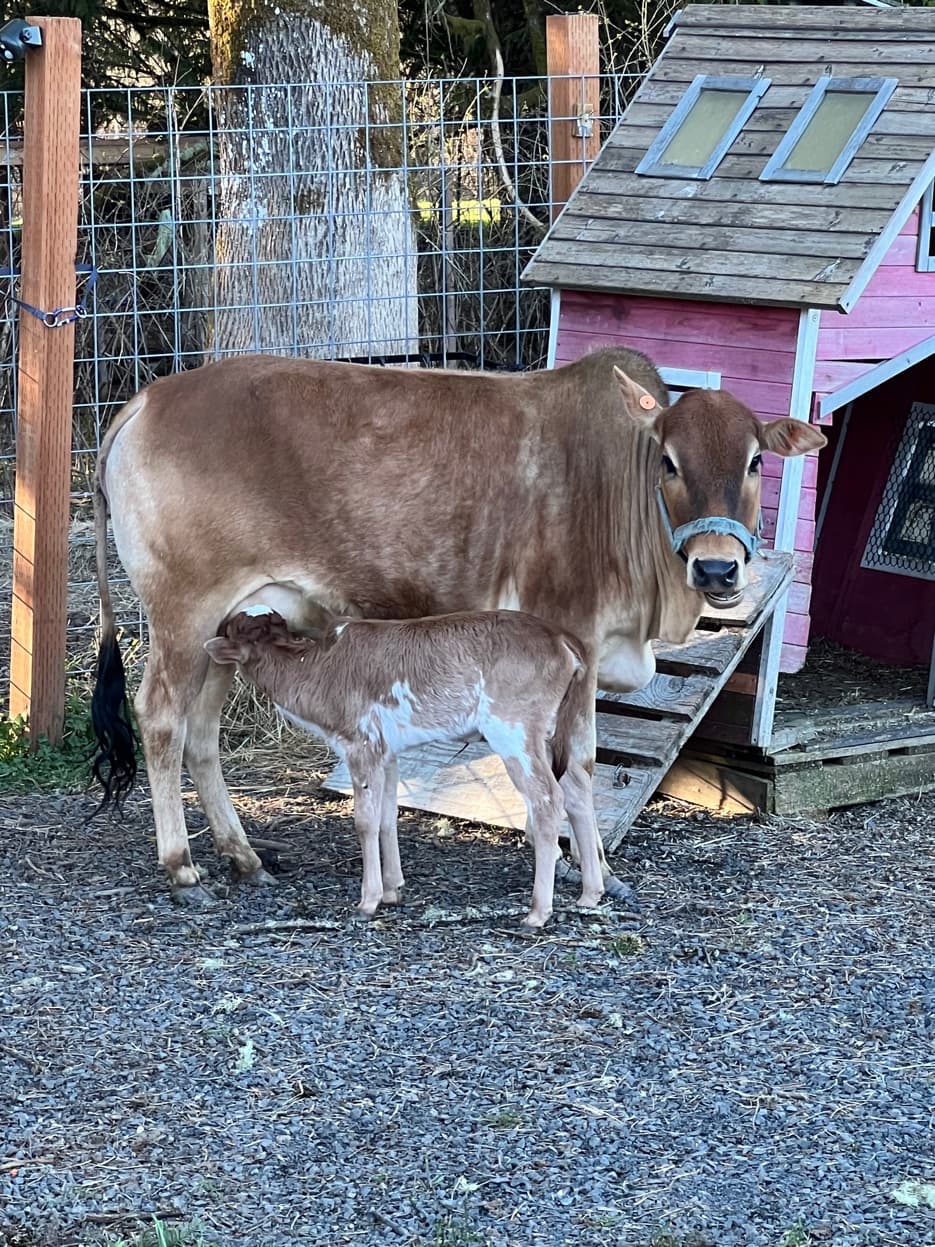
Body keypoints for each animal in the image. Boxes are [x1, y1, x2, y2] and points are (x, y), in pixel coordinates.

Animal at [204, 607, 604, 927]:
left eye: (233, 629)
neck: (316, 670)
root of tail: (561, 637)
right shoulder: (388, 753)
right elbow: (387, 816)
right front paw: (393, 890)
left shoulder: (361, 743)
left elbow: (365, 822)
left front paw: (368, 901)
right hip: (556, 731)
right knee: (579, 788)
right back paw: (590, 894)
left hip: (513, 729)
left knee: (548, 799)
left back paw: (538, 912)